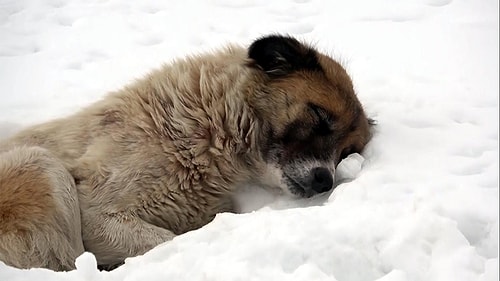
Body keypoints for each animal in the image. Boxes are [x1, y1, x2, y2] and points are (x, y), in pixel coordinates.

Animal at [0, 35, 372, 270]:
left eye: (346, 153)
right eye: (320, 117)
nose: (325, 181)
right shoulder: (98, 214)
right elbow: (164, 241)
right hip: (40, 165)